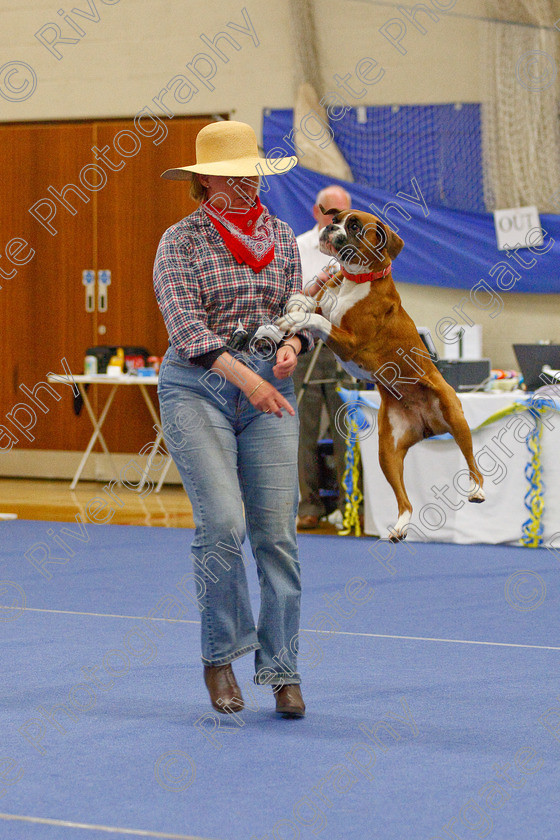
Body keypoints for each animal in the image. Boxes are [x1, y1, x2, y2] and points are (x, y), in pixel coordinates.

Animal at [276, 207, 486, 540]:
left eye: (354, 226)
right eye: (335, 219)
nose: (329, 228)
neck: (355, 279)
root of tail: (429, 425)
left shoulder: (349, 342)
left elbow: (316, 319)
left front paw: (294, 317)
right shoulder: (328, 312)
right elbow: (312, 305)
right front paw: (296, 305)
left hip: (455, 417)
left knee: (471, 460)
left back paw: (476, 489)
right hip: (387, 452)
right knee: (405, 500)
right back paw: (399, 526)